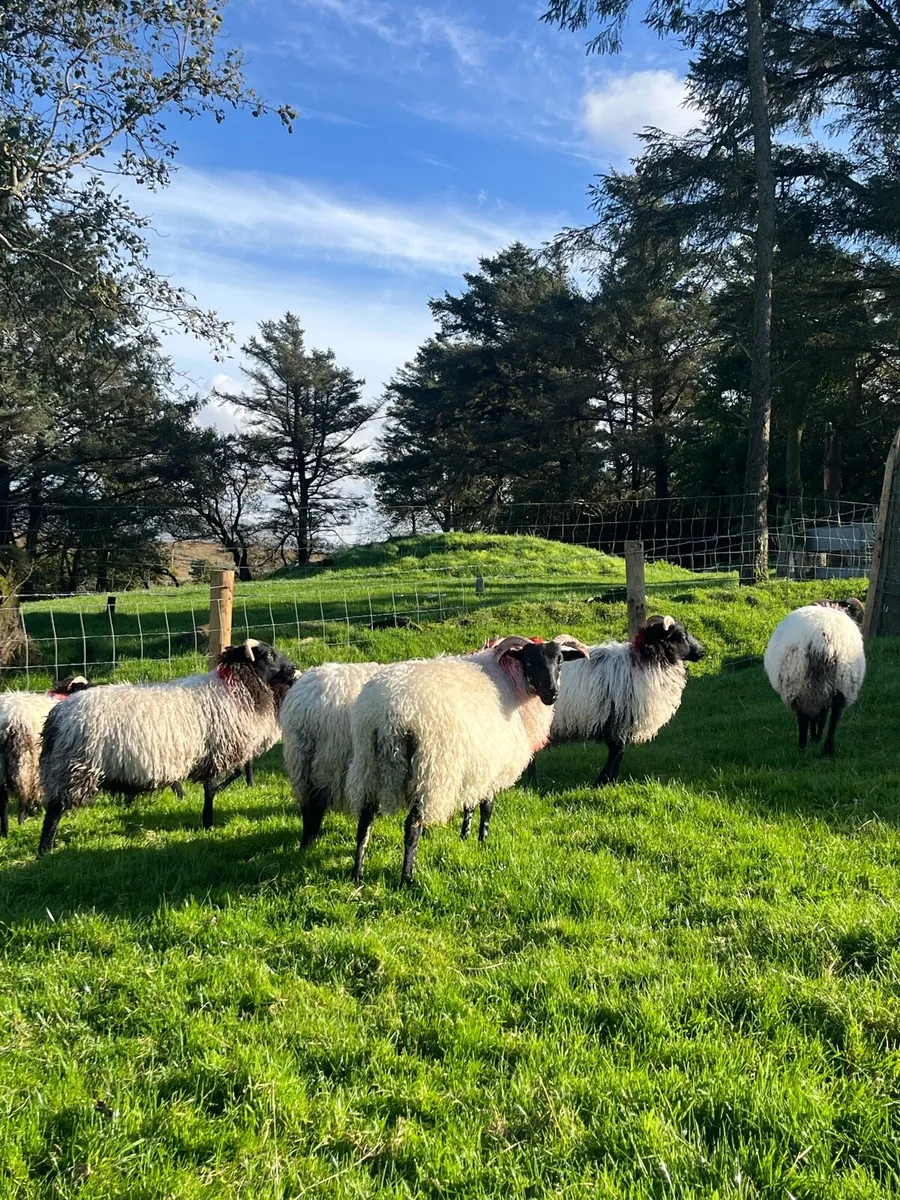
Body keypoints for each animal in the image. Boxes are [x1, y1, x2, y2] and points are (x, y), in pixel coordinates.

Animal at [0, 675, 91, 836]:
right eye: (81, 688)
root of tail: (9, 720)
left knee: (3, 798)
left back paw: (5, 831)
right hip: (26, 759)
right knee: (22, 793)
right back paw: (21, 821)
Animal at [37, 639, 298, 855]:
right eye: (269, 655)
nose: (294, 669)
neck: (234, 689)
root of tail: (57, 715)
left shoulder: (212, 754)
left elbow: (228, 777)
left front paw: (208, 817)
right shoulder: (216, 751)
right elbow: (212, 789)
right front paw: (209, 822)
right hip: (74, 768)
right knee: (54, 811)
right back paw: (45, 850)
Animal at [345, 633, 589, 885]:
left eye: (560, 660)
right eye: (530, 661)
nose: (552, 693)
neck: (510, 683)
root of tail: (389, 714)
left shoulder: (475, 763)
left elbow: (469, 804)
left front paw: (464, 836)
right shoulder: (492, 764)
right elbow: (487, 807)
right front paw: (483, 841)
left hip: (368, 763)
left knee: (365, 821)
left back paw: (357, 874)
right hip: (428, 771)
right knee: (412, 826)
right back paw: (407, 878)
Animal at [529, 616, 706, 787]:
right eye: (682, 636)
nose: (702, 652)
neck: (646, 660)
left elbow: (617, 753)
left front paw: (609, 780)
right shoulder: (617, 721)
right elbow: (617, 753)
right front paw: (603, 781)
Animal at [763, 598, 865, 755]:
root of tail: (822, 640)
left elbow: (818, 717)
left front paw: (814, 737)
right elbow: (821, 717)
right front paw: (816, 738)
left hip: (798, 682)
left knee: (805, 718)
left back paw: (803, 748)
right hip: (840, 682)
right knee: (834, 717)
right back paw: (828, 749)